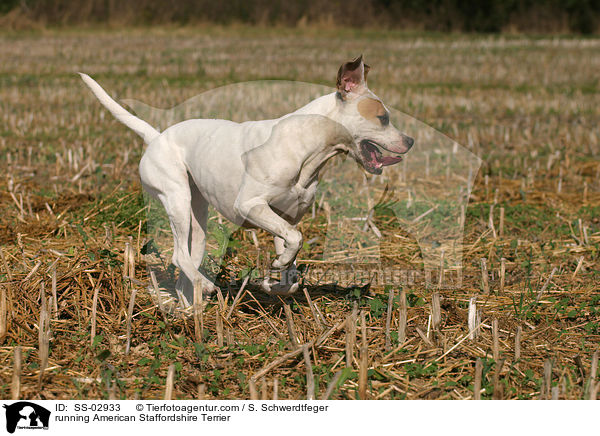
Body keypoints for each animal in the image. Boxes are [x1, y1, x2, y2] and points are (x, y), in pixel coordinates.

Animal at [81, 54, 412, 300]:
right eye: (383, 118)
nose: (410, 141)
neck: (309, 148)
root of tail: (156, 137)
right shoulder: (251, 205)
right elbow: (296, 239)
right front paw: (278, 268)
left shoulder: (285, 217)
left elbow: (291, 258)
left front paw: (276, 279)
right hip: (176, 199)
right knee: (177, 256)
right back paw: (206, 286)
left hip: (198, 214)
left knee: (188, 261)